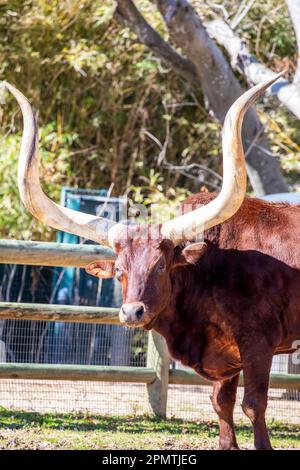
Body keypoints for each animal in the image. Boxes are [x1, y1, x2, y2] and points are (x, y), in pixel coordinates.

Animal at [2, 71, 300, 450]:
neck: (212, 267)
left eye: (160, 266)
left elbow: (253, 404)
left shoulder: (257, 344)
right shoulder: (226, 356)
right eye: (119, 270)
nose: (132, 312)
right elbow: (221, 404)